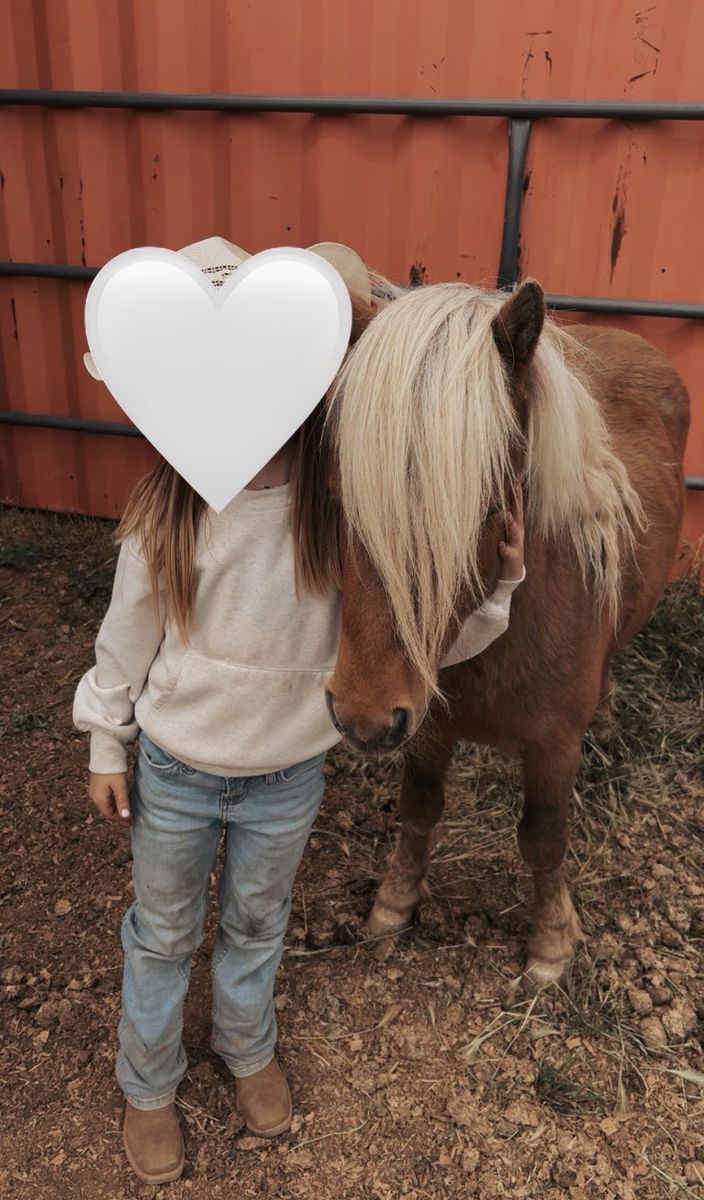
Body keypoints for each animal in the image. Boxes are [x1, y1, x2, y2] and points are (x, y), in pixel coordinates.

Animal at [322, 277, 690, 987]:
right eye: (339, 494)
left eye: (490, 507)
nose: (363, 719)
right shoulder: (428, 729)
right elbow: (419, 808)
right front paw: (393, 904)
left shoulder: (552, 748)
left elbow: (543, 838)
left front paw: (551, 942)